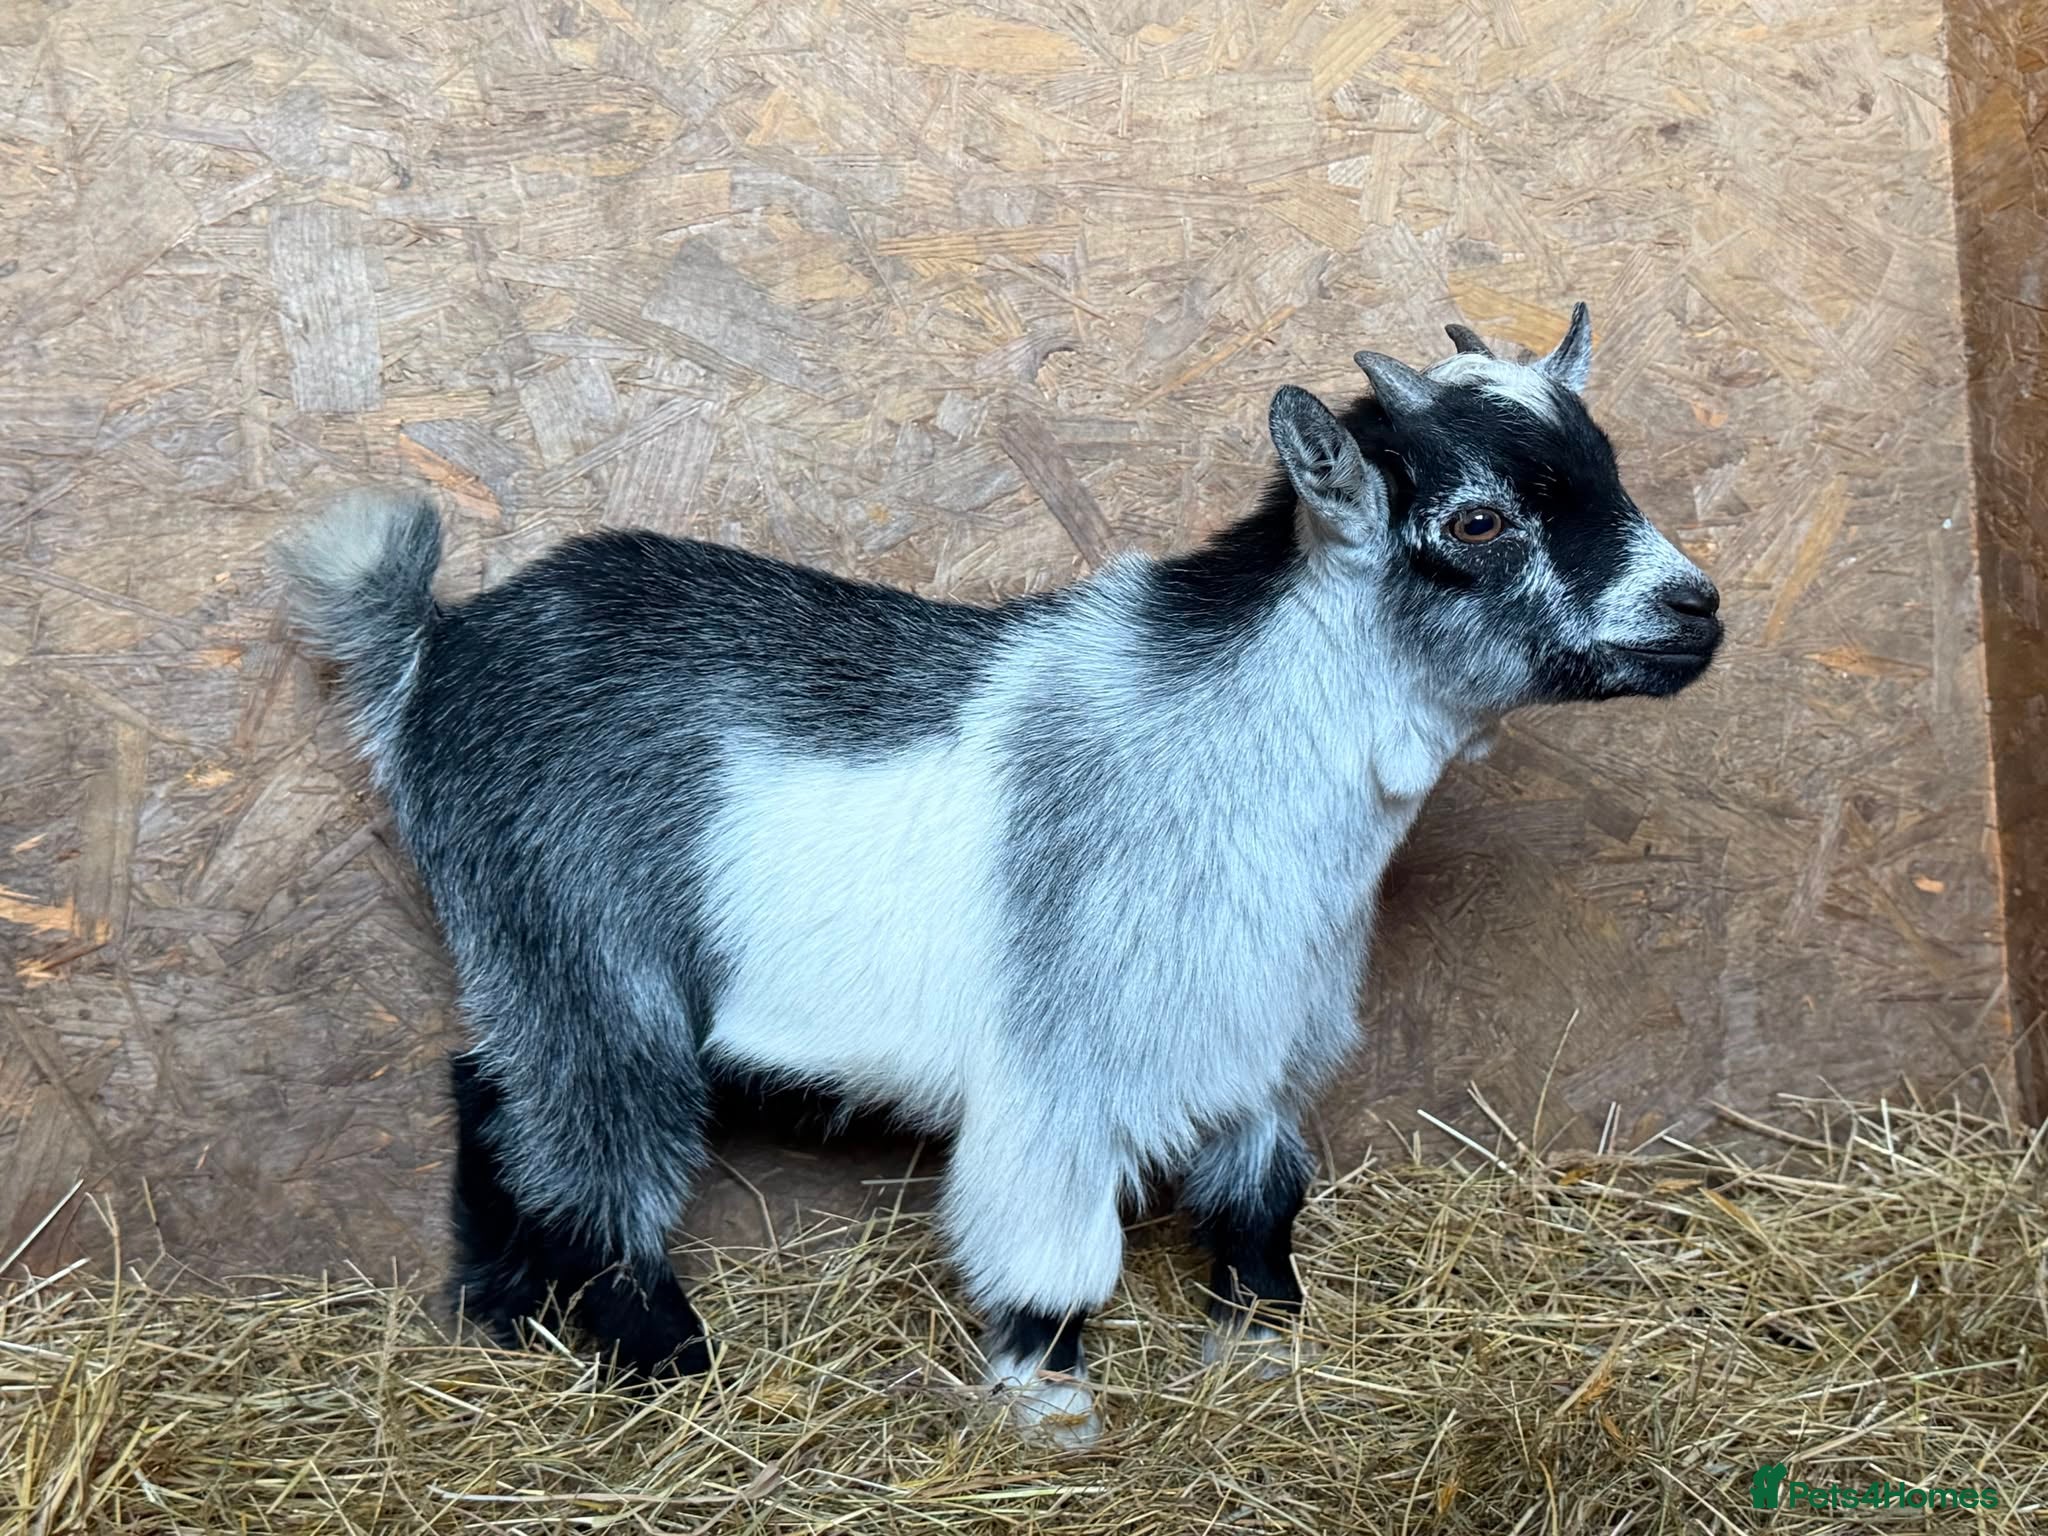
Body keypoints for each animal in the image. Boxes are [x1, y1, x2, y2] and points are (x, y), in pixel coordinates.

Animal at [277, 305, 1720, 1446]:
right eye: (1477, 518)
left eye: (1610, 470)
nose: (1693, 609)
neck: (1233, 741)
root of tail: (436, 649)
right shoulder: (1060, 1063)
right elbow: (1051, 1244)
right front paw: (1048, 1399)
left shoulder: (1261, 1028)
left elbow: (1262, 1200)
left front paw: (1259, 1353)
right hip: (581, 941)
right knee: (593, 1146)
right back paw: (667, 1364)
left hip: (523, 948)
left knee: (487, 1089)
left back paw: (501, 1316)